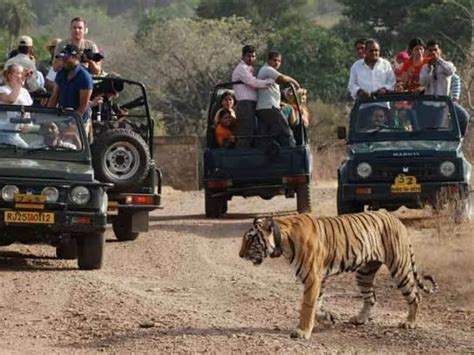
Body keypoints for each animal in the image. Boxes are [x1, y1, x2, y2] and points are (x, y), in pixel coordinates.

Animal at [239, 213, 438, 340]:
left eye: (250, 239)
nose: (240, 255)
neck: (283, 240)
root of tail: (397, 220)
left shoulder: (313, 277)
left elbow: (307, 306)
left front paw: (302, 332)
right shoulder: (319, 279)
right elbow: (317, 306)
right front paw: (328, 318)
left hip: (399, 267)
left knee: (415, 296)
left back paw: (410, 323)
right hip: (364, 273)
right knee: (371, 298)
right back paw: (360, 319)